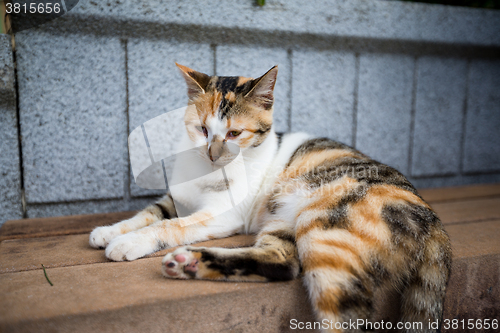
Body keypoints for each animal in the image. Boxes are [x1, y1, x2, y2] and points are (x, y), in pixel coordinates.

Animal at [90, 63, 454, 330]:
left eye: (234, 133)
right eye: (203, 129)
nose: (212, 154)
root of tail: (435, 223)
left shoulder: (223, 213)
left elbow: (169, 225)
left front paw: (128, 242)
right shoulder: (176, 197)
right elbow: (149, 213)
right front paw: (109, 231)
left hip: (326, 224)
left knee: (343, 313)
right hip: (283, 221)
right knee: (283, 262)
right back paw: (189, 264)